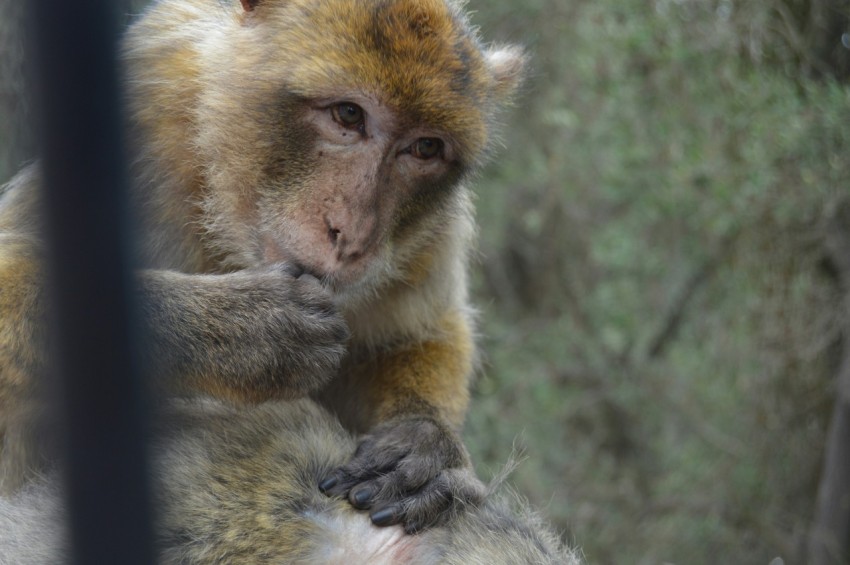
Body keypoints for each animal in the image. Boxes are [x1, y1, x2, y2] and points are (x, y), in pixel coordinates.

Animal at [0, 0, 526, 531]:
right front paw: (246, 328)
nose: (352, 234)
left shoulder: (431, 234)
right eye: (349, 114)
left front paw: (424, 441)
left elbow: (422, 335)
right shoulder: (142, 100)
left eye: (425, 148)